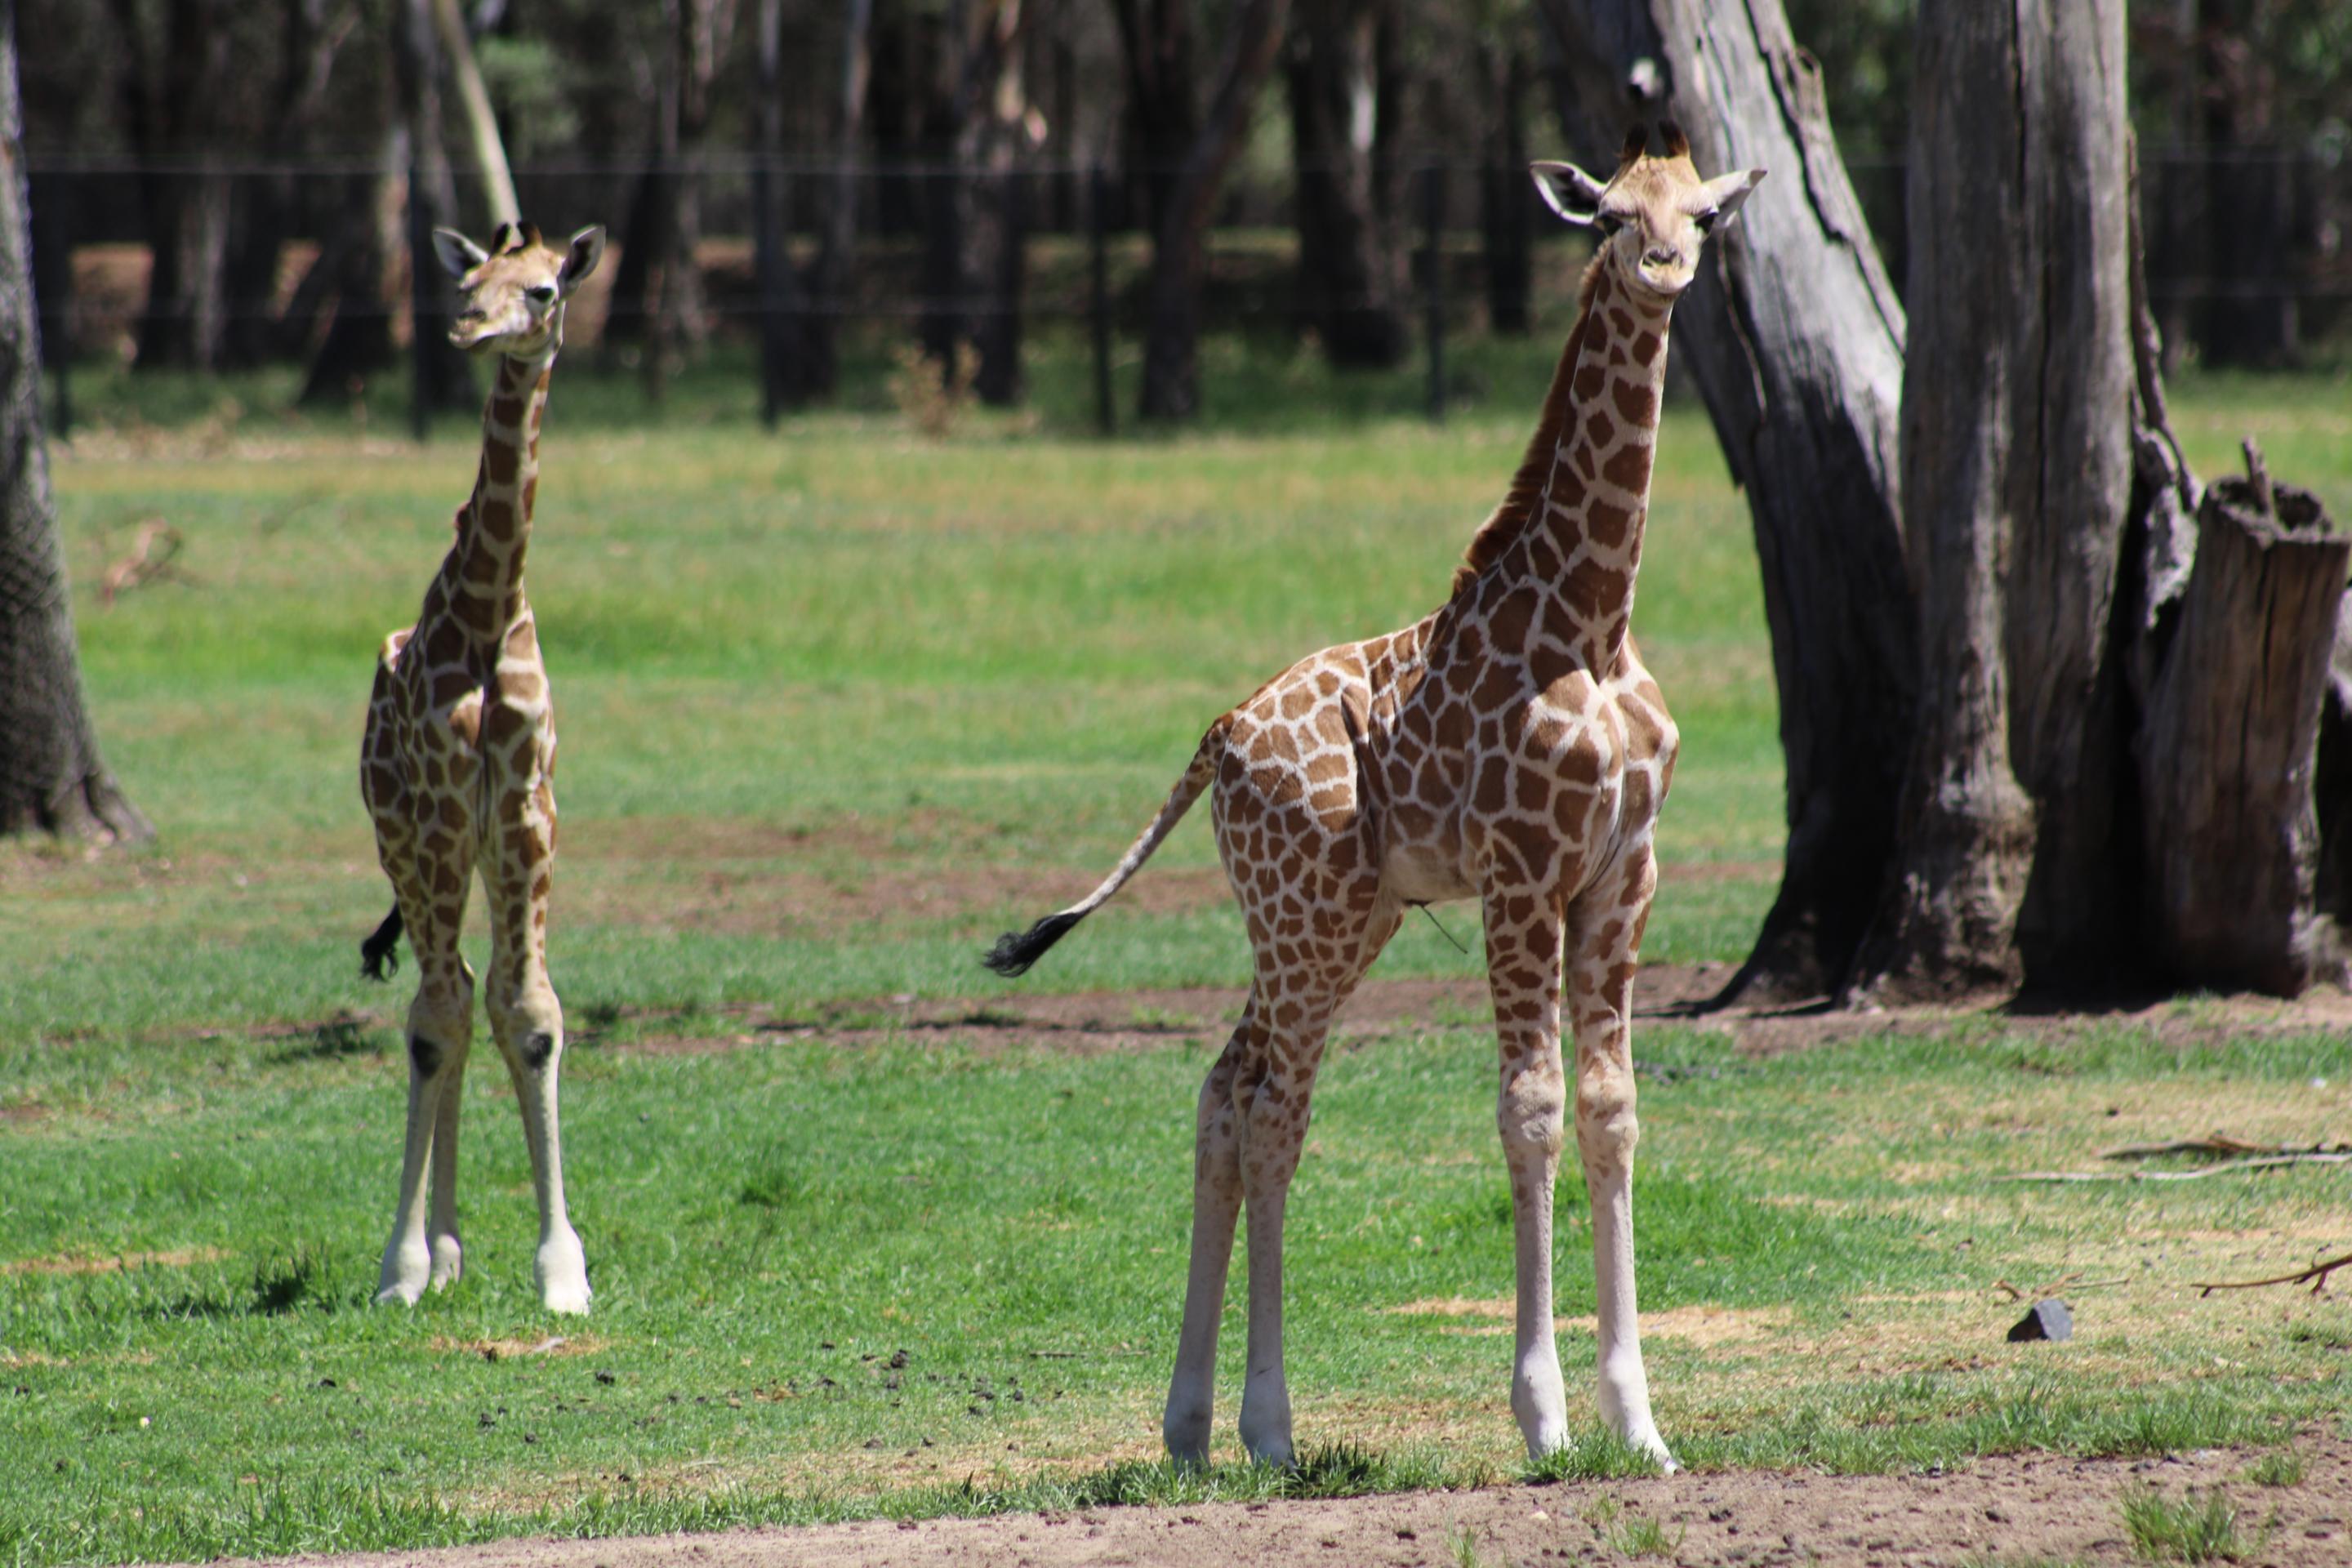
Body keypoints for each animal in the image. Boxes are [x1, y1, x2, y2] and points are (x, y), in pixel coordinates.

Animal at [986, 125, 1761, 1468]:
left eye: (1701, 214)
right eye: (1613, 215)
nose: (1665, 268)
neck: (1594, 619)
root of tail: (1217, 735)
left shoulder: (1625, 870)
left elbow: (1610, 1112)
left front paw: (1641, 1426)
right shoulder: (1520, 870)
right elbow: (1529, 1111)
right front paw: (1545, 1421)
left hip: (1346, 918)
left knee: (1224, 1089)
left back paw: (1192, 1427)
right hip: (1306, 918)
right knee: (1273, 1111)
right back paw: (1270, 1429)